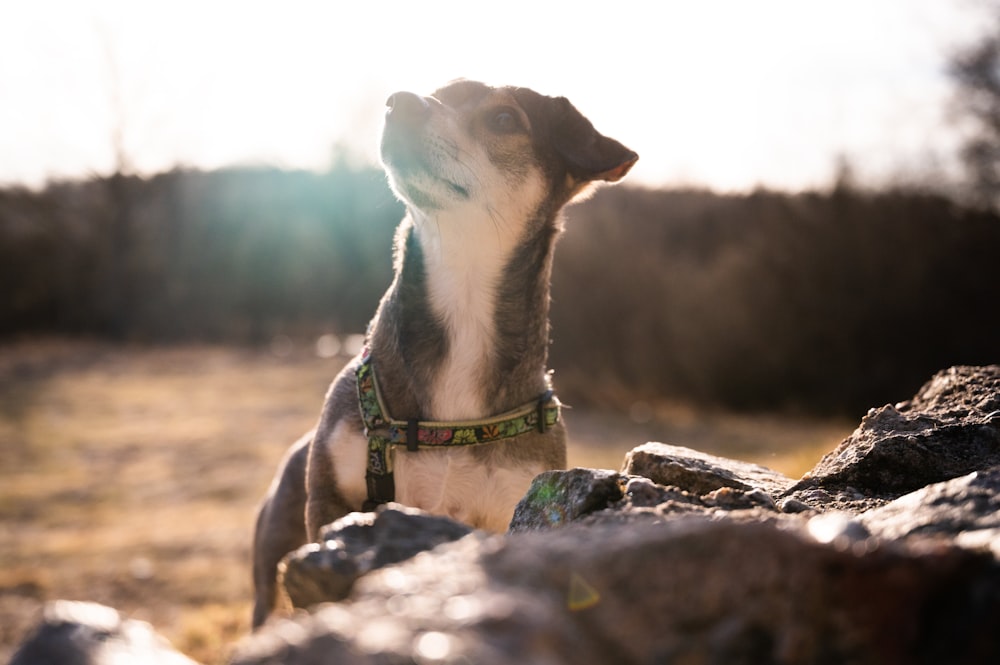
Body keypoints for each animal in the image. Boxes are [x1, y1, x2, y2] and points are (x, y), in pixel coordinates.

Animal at [254, 80, 636, 624]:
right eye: (439, 92)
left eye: (504, 119)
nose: (400, 101)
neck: (462, 299)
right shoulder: (329, 504)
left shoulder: (513, 508)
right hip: (271, 560)